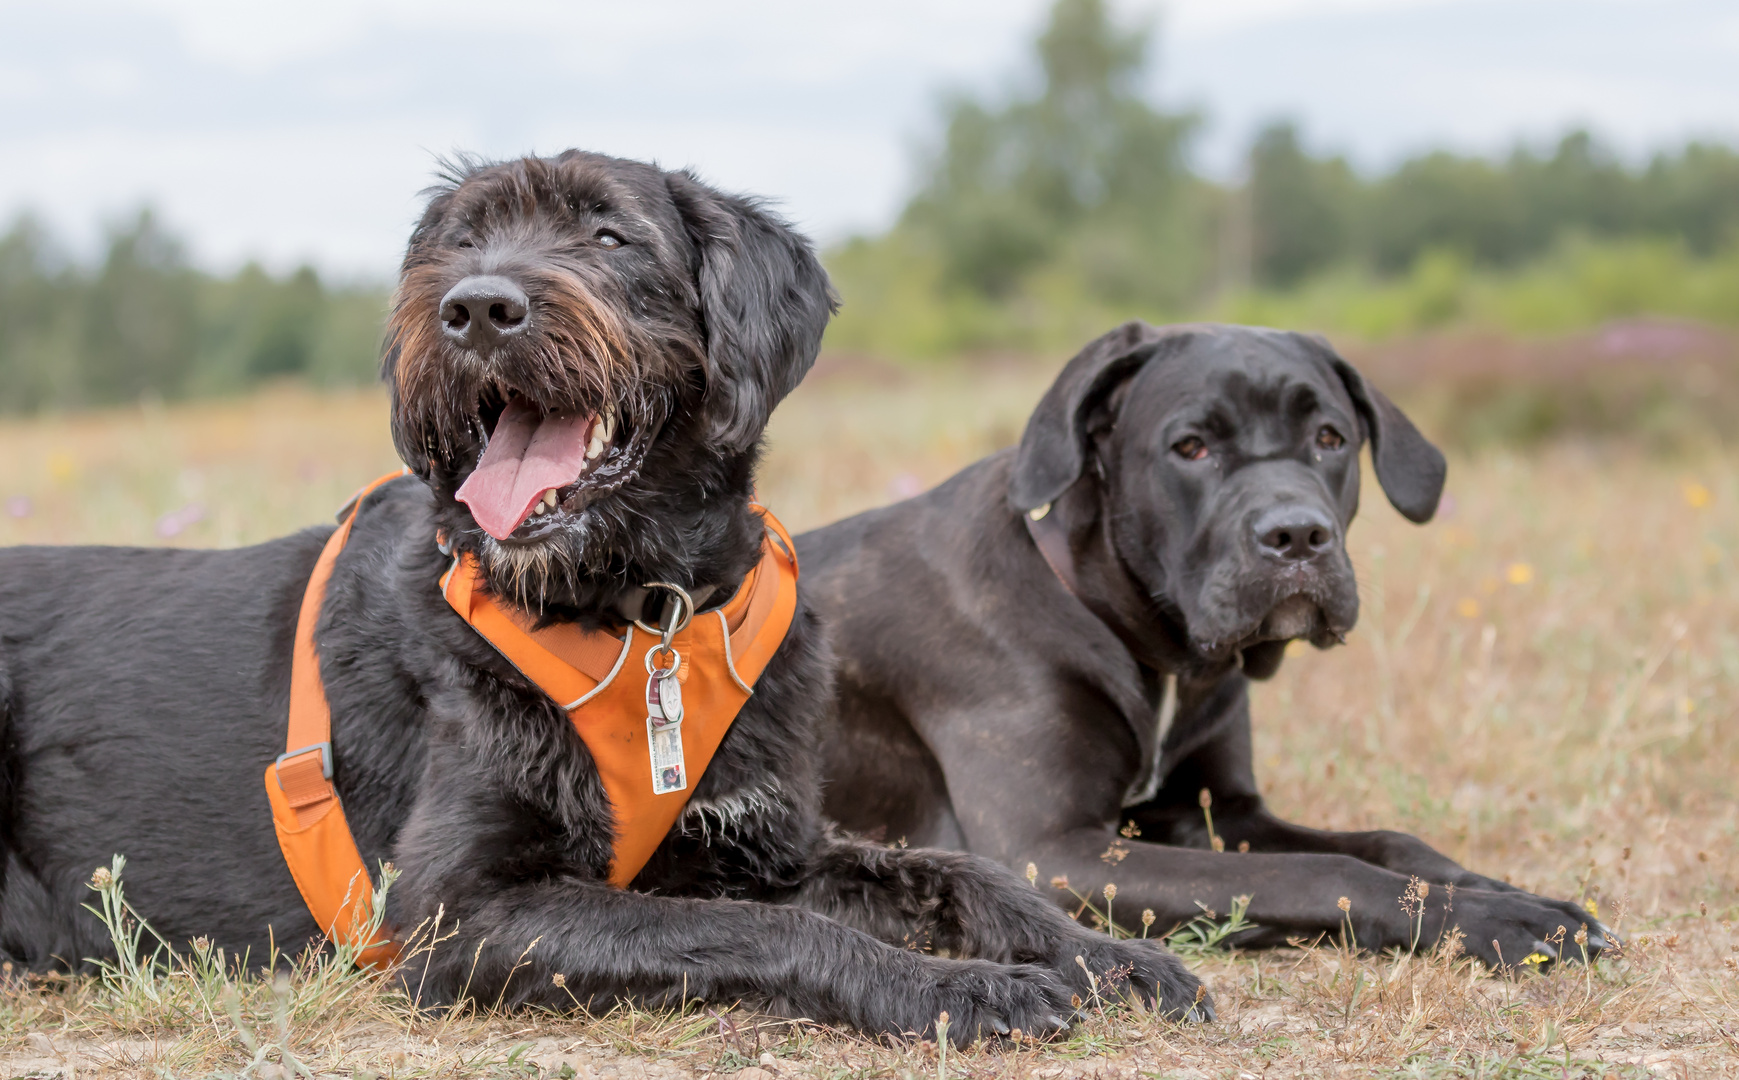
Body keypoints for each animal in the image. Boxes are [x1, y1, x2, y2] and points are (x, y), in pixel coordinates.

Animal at [0, 153, 1210, 1043]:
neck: (638, 609)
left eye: (610, 237)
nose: (475, 307)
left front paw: (1105, 956)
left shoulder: (755, 843)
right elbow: (751, 936)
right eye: (457, 244)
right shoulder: (462, 913)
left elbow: (960, 871)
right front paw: (957, 989)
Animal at [799, 320, 1613, 966]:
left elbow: (1388, 841)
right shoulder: (1047, 848)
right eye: (1190, 447)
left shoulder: (1218, 807)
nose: (1297, 535)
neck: (1143, 644)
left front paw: (1506, 891)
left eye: (1330, 439)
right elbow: (1320, 871)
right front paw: (1497, 920)